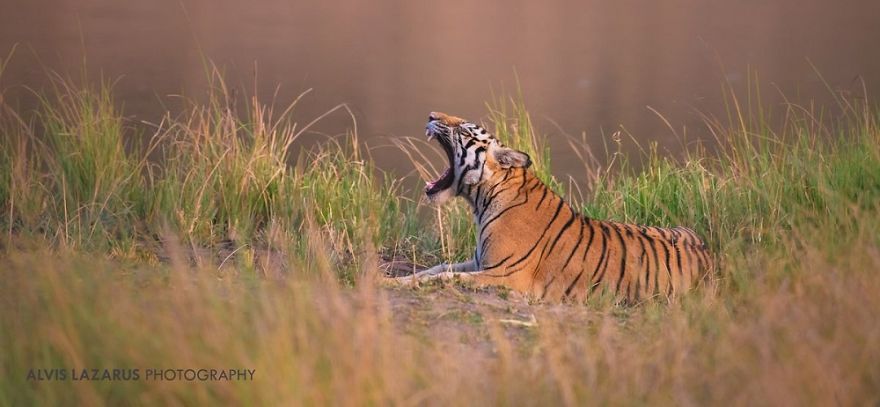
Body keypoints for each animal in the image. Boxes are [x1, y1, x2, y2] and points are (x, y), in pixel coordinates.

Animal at [392, 111, 714, 303]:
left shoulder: (505, 273)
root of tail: (709, 255)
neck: (483, 199)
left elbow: (446, 277)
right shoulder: (480, 261)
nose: (431, 114)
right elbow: (435, 268)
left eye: (462, 128)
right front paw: (395, 279)